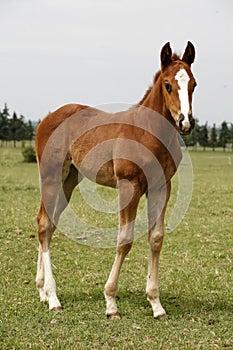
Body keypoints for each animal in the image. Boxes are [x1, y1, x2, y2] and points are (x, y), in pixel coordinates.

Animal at [35, 42, 197, 318]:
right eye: (167, 85)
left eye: (194, 84)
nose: (185, 122)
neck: (149, 131)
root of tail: (45, 119)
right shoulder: (128, 185)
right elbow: (124, 239)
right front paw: (110, 302)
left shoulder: (161, 186)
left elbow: (156, 238)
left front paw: (156, 303)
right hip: (51, 175)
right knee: (45, 225)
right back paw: (53, 297)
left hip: (69, 180)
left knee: (48, 223)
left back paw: (42, 291)